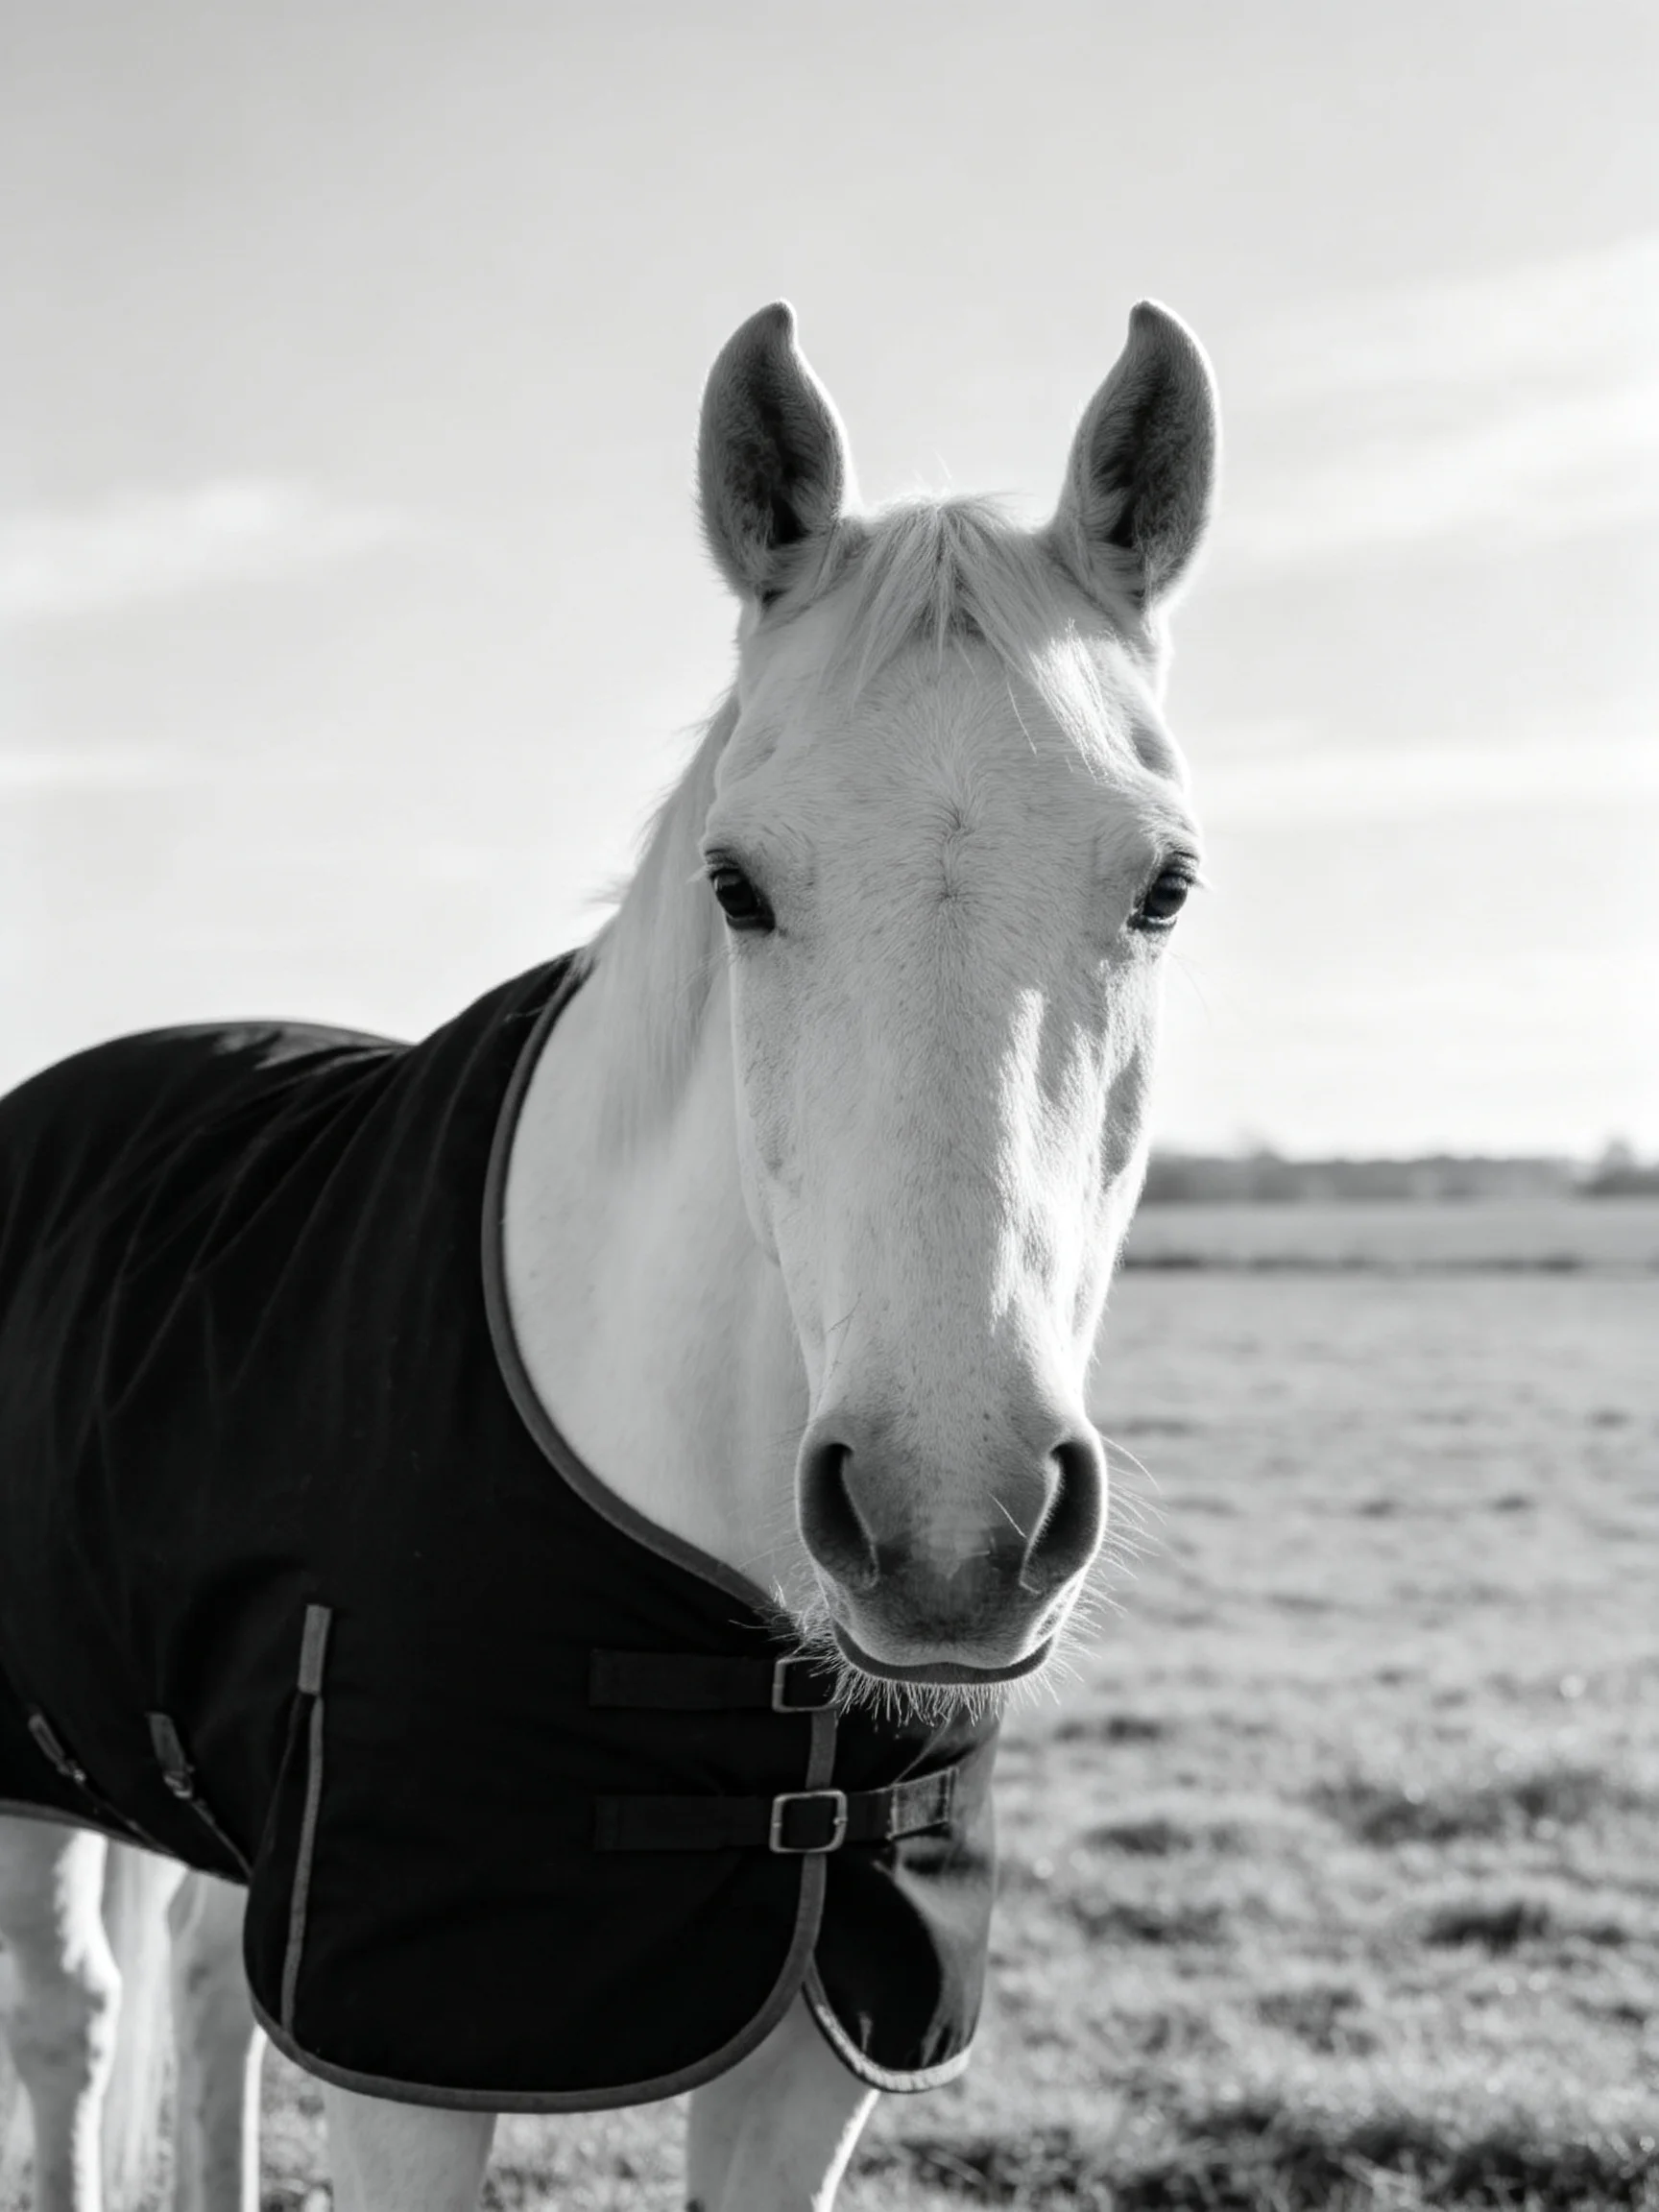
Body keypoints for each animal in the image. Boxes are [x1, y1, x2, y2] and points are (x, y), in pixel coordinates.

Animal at [0, 295, 1218, 2212]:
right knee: (72, 2020)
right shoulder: (410, 2041)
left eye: (1162, 885)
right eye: (738, 884)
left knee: (194, 1989)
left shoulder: (819, 2035)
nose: (951, 1535)